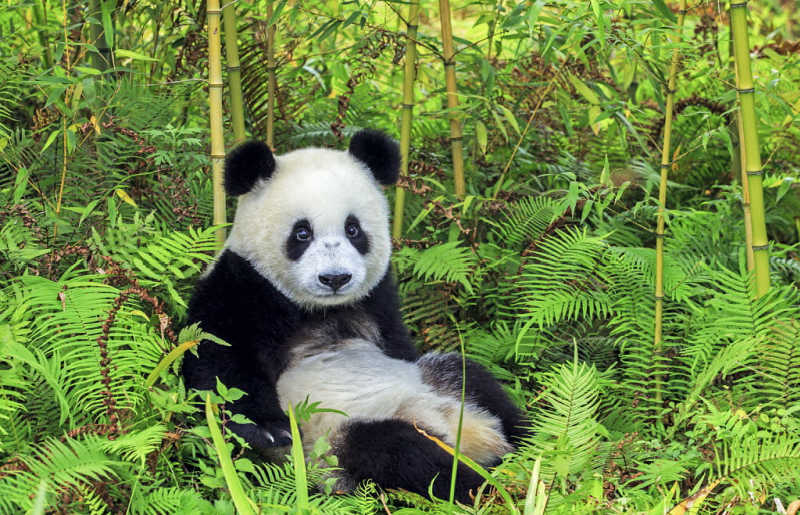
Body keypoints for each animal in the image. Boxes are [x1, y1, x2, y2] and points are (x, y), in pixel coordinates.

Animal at [182, 129, 528, 503]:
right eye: (302, 233)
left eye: (353, 229)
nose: (335, 278)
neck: (321, 310)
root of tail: (464, 433)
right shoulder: (240, 286)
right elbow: (217, 364)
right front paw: (270, 429)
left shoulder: (379, 300)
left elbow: (399, 344)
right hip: (335, 443)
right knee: (400, 454)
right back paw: (485, 486)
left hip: (440, 382)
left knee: (475, 380)